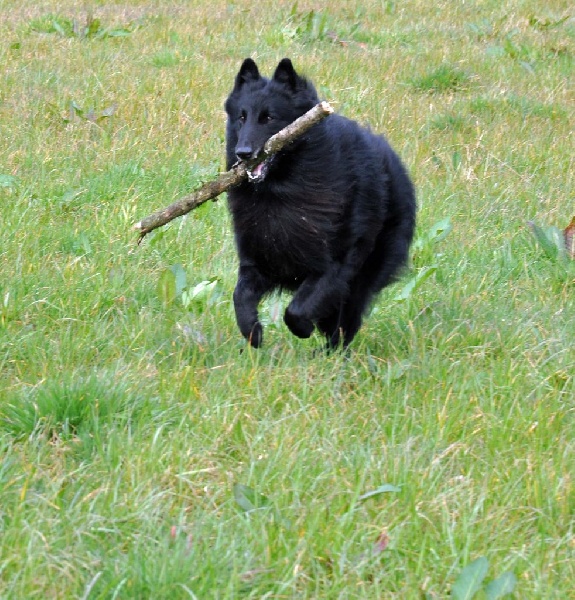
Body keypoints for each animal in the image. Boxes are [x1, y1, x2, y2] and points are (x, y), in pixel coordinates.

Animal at [223, 58, 416, 350]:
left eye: (269, 118)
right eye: (241, 117)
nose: (243, 153)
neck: (280, 193)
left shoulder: (334, 266)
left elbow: (296, 311)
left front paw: (303, 328)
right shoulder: (258, 260)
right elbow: (240, 297)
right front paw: (254, 333)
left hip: (363, 275)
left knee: (346, 322)